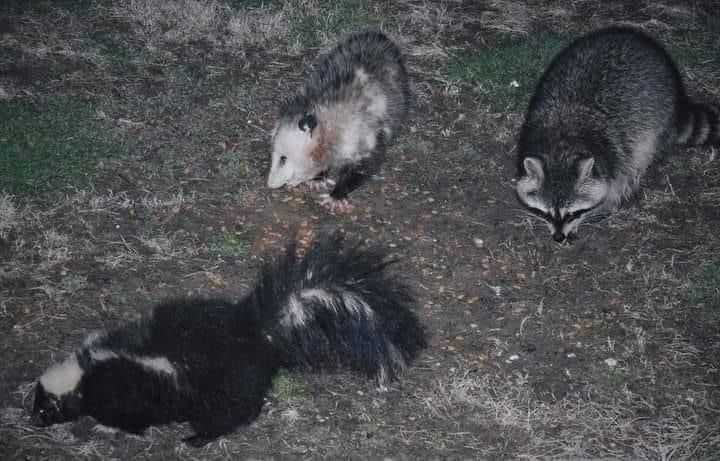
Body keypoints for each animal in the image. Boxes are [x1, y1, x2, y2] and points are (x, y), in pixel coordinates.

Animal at [267, 31, 411, 212]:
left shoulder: (363, 135)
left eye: (283, 159)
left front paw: (336, 195)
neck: (328, 124)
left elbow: (366, 166)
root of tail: (380, 36)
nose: (270, 184)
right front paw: (317, 180)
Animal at [516, 26, 720, 242]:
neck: (561, 147)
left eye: (572, 213)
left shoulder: (616, 151)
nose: (558, 237)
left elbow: (617, 180)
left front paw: (602, 207)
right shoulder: (532, 129)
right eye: (546, 212)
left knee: (643, 153)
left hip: (659, 117)